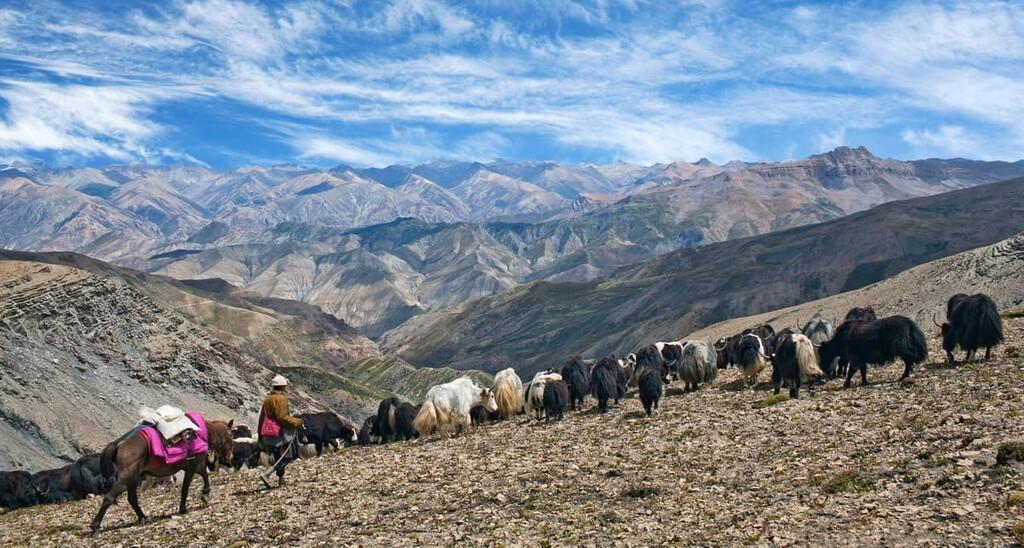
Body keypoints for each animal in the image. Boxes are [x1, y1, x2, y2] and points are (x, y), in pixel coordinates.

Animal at [89, 419, 234, 536]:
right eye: (231, 436)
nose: (230, 458)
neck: (200, 433)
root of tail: (118, 444)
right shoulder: (193, 466)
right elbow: (190, 485)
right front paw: (202, 497)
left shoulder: (193, 466)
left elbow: (202, 476)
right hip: (127, 478)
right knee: (109, 498)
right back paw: (95, 527)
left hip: (133, 479)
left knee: (132, 499)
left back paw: (144, 518)